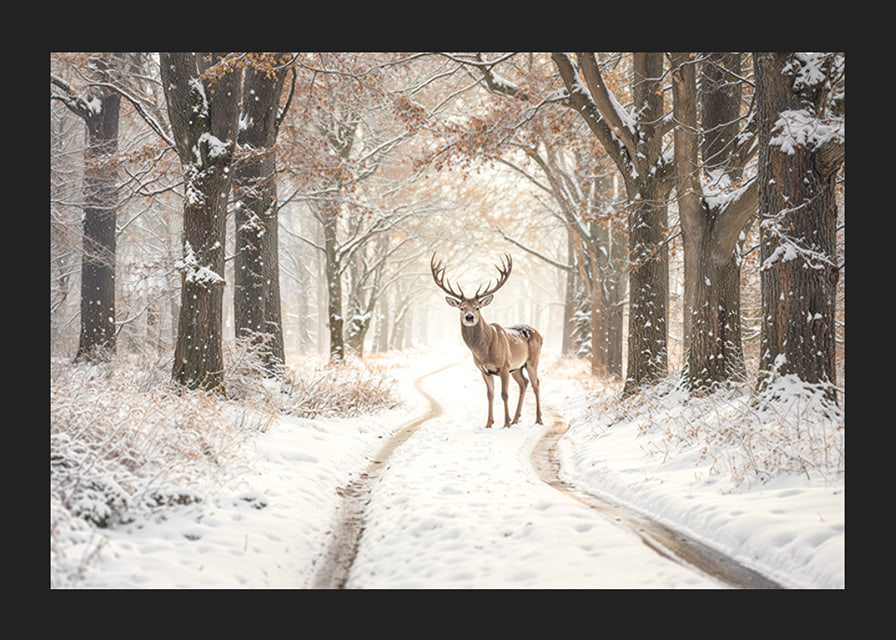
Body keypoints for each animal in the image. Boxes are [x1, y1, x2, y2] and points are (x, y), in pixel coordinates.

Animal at [431, 253, 543, 429]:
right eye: (461, 307)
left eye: (477, 307)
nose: (469, 317)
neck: (484, 352)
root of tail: (539, 334)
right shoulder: (484, 370)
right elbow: (490, 394)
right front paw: (489, 423)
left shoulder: (504, 366)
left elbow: (504, 394)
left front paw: (505, 423)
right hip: (517, 367)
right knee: (523, 383)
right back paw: (516, 418)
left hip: (532, 360)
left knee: (535, 383)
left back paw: (537, 419)